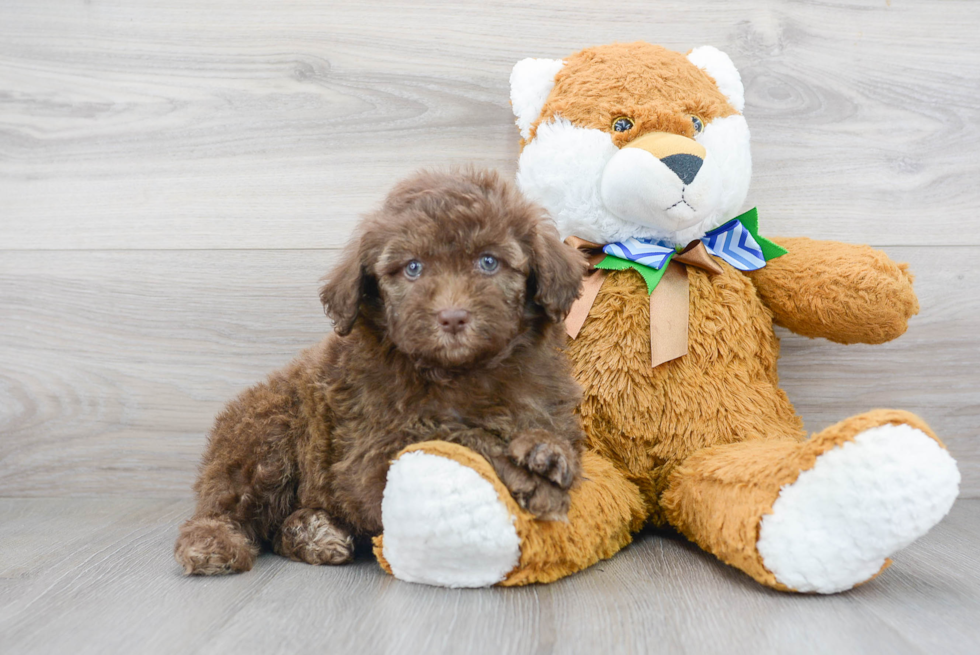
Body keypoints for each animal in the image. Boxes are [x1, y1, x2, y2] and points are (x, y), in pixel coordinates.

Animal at [174, 168, 588, 576]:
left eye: (488, 261)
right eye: (413, 268)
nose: (452, 317)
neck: (460, 372)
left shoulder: (546, 403)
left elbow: (547, 431)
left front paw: (546, 448)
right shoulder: (373, 451)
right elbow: (456, 436)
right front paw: (524, 474)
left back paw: (315, 533)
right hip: (267, 435)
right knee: (226, 506)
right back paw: (212, 543)